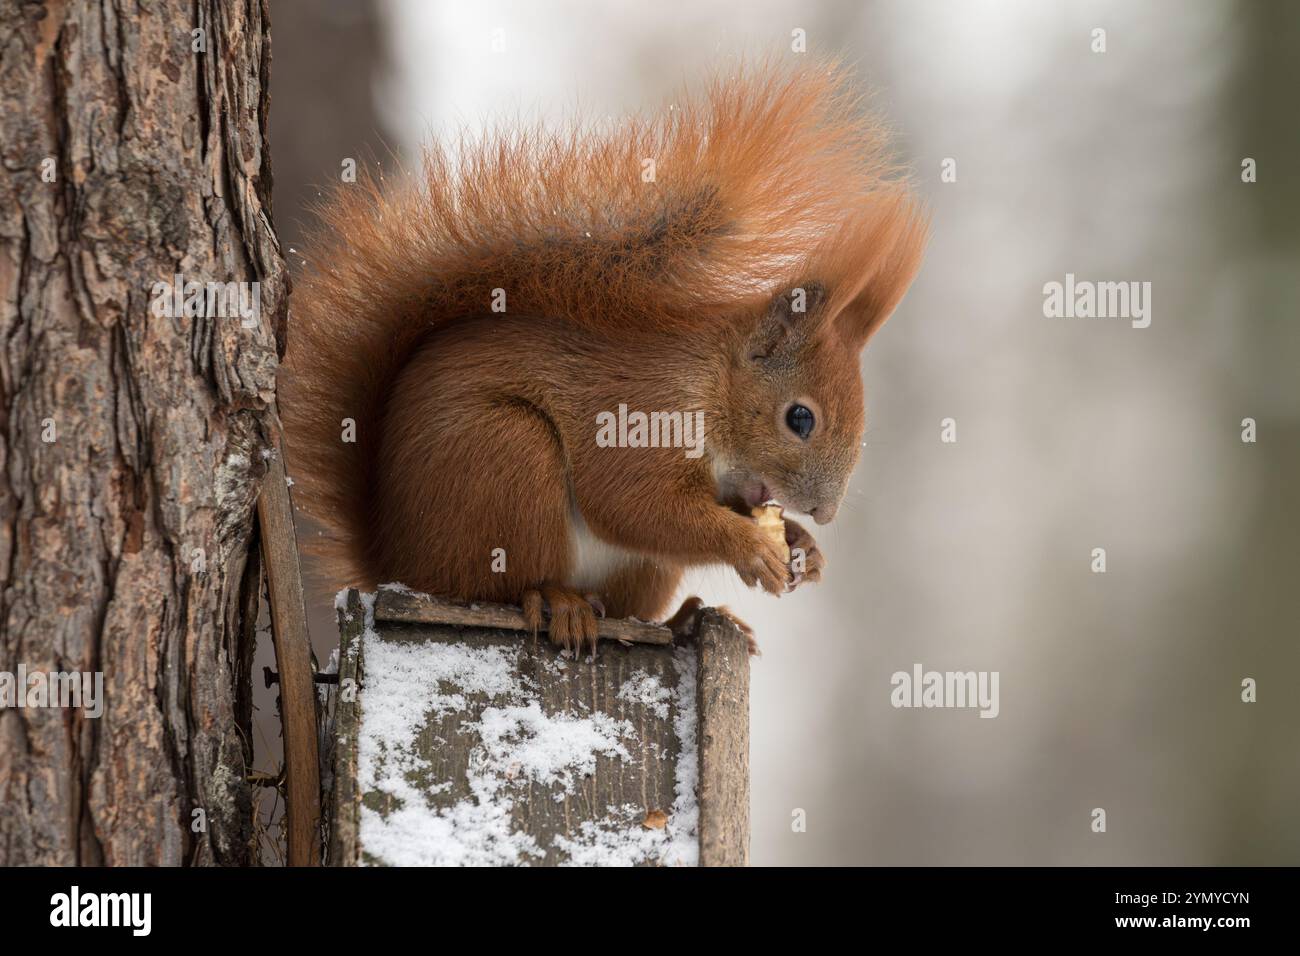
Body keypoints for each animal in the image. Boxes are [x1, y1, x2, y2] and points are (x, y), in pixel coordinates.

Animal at [283, 61, 930, 658]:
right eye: (800, 418)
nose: (825, 512)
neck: (711, 384)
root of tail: (391, 560)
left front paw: (803, 548)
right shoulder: (637, 411)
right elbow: (631, 504)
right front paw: (752, 547)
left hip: (635, 567)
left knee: (626, 608)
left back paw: (686, 619)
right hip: (504, 459)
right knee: (498, 587)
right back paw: (558, 602)